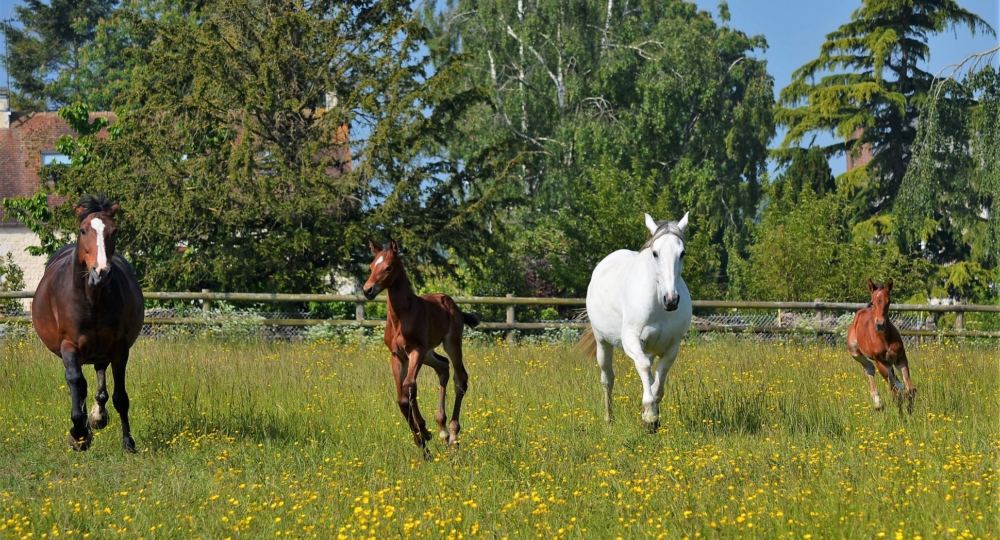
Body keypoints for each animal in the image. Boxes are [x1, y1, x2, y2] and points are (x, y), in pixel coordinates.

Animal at [31, 194, 144, 452]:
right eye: (83, 230)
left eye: (115, 231)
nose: (100, 272)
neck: (92, 300)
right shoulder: (69, 346)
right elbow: (75, 382)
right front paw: (79, 434)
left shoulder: (119, 348)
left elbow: (120, 397)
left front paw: (128, 442)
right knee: (80, 384)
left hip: (100, 350)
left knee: (100, 381)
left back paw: (97, 417)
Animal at [364, 240, 480, 456]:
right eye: (371, 266)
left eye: (388, 267)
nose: (367, 290)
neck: (401, 316)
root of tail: (453, 304)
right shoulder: (398, 356)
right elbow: (402, 398)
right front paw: (422, 440)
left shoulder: (415, 351)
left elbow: (409, 387)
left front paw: (424, 432)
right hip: (429, 353)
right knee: (443, 367)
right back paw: (442, 430)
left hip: (451, 343)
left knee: (460, 378)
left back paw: (453, 435)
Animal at [580, 213, 688, 432]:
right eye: (655, 253)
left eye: (682, 253)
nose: (671, 300)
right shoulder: (631, 340)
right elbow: (645, 368)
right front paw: (650, 417)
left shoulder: (671, 347)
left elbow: (658, 382)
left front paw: (651, 415)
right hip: (602, 342)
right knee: (608, 379)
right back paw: (609, 420)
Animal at [844, 280, 916, 412]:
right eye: (873, 302)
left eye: (889, 301)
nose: (880, 324)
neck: (884, 339)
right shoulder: (881, 362)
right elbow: (895, 394)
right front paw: (901, 415)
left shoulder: (901, 358)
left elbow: (911, 389)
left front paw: (909, 411)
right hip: (855, 352)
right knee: (869, 368)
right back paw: (877, 402)